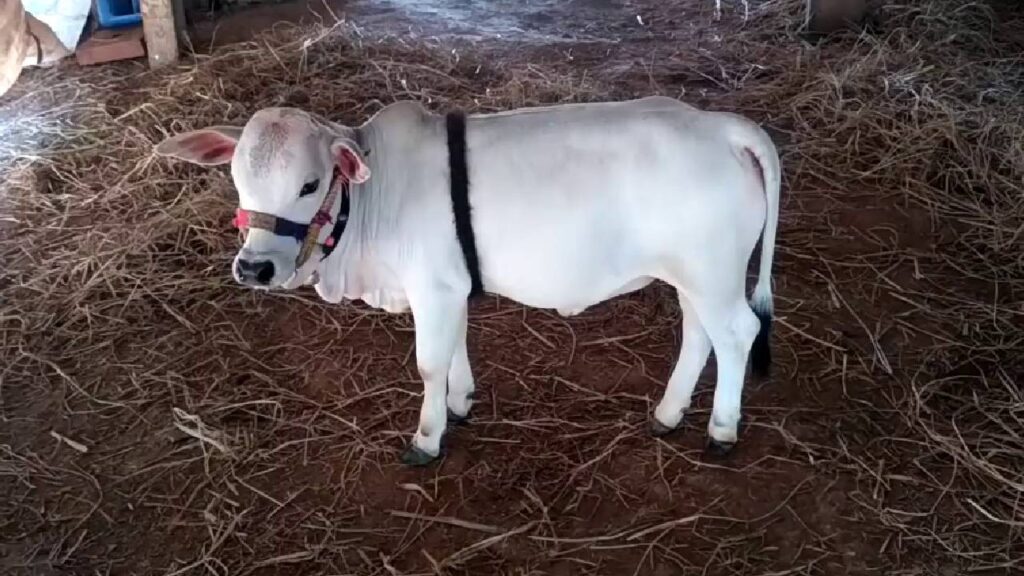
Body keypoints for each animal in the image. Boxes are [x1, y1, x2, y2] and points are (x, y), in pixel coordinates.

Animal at [154, 96, 781, 466]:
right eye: (237, 180)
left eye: (310, 184)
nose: (253, 268)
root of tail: (729, 128)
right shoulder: (448, 287)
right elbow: (453, 348)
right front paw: (459, 402)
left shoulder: (432, 288)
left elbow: (428, 364)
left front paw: (427, 438)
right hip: (696, 275)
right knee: (699, 335)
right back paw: (667, 414)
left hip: (713, 275)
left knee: (737, 335)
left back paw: (721, 430)